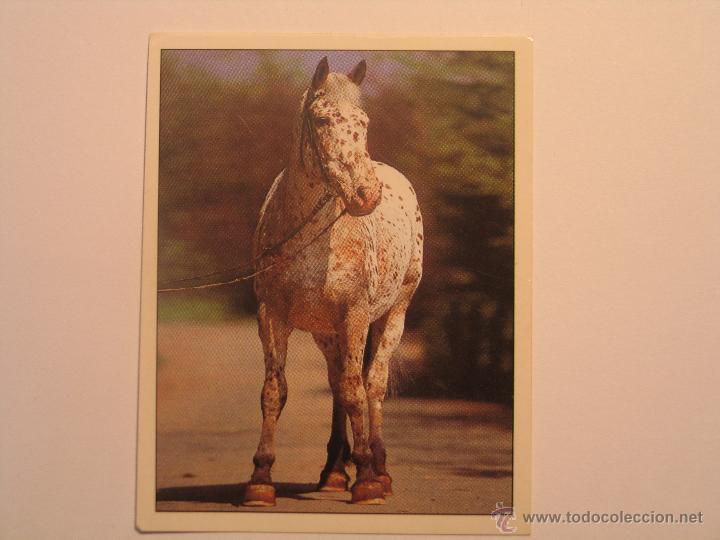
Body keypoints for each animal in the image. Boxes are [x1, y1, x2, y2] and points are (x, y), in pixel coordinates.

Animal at [242, 57, 423, 506]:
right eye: (322, 120)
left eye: (363, 121)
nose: (366, 194)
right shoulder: (271, 317)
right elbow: (274, 391)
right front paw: (261, 478)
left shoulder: (355, 316)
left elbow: (356, 389)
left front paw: (368, 481)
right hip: (327, 334)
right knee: (338, 385)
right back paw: (335, 472)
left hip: (393, 315)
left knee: (372, 385)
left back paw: (378, 467)